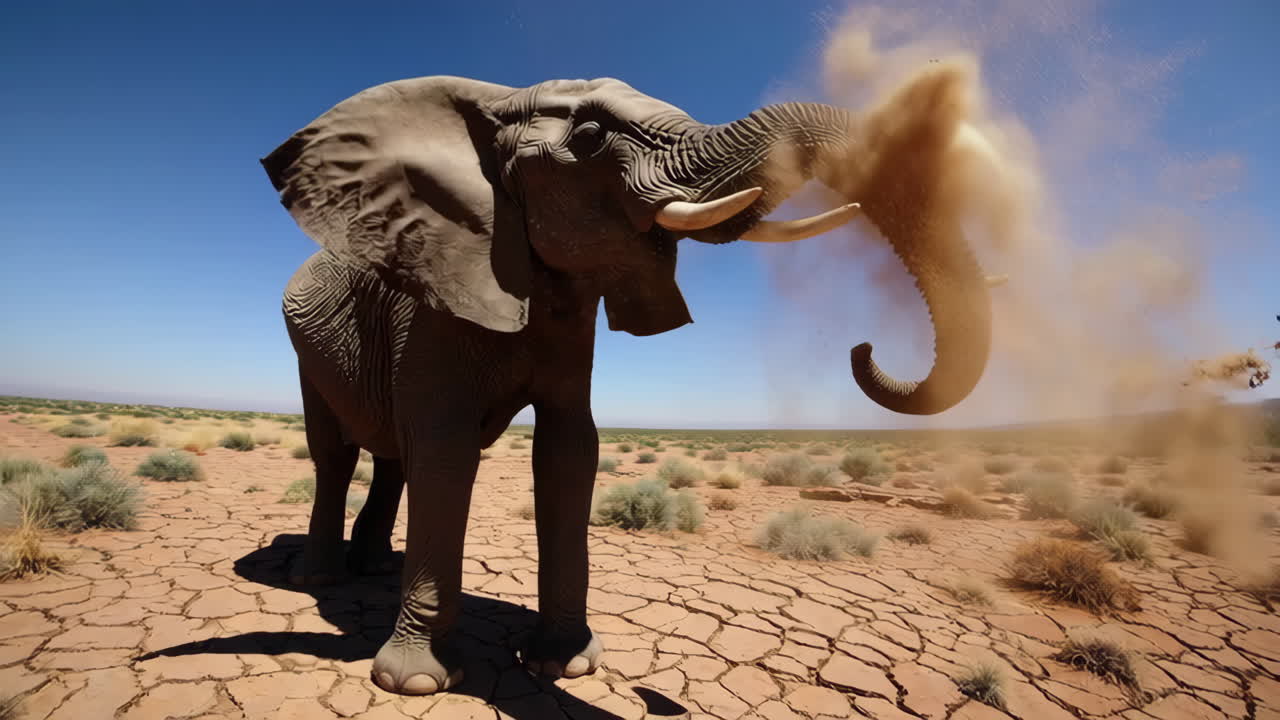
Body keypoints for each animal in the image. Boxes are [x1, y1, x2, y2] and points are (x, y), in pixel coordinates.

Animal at [260, 74, 993, 695]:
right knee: (338, 453)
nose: (862, 346)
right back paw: (322, 576)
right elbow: (446, 450)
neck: (494, 108)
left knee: (392, 456)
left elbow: (568, 448)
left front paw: (566, 665)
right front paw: (416, 681)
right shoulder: (433, 297)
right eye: (588, 138)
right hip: (303, 345)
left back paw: (375, 569)